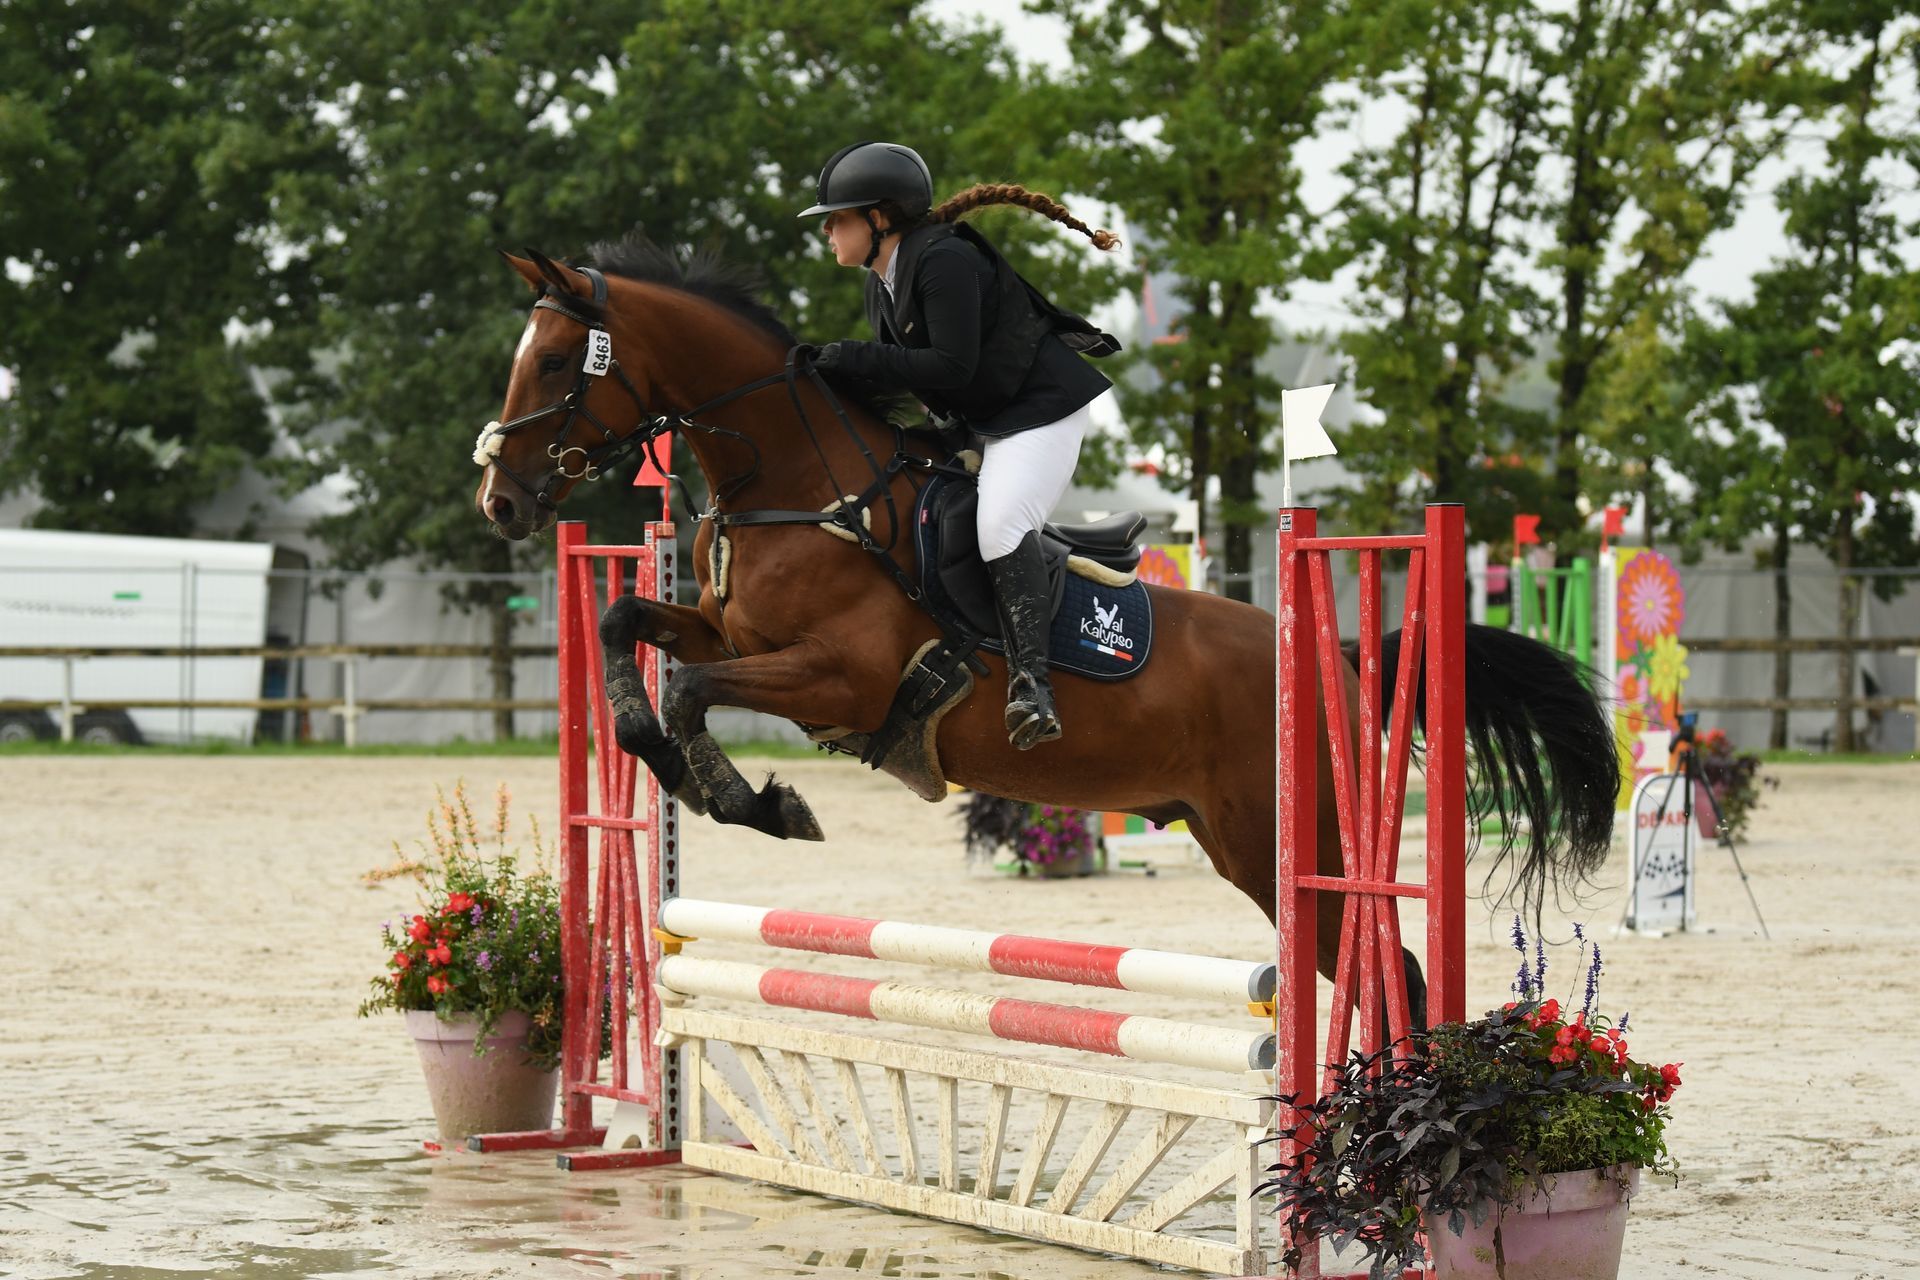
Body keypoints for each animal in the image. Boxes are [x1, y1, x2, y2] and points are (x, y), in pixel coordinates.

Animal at [472, 235, 1621, 1022]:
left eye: (559, 361)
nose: (501, 501)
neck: (801, 489)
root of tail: (1330, 650)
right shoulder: (727, 633)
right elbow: (628, 624)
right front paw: (668, 759)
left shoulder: (839, 679)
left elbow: (693, 692)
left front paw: (754, 801)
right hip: (1234, 834)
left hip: (1291, 841)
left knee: (1391, 969)